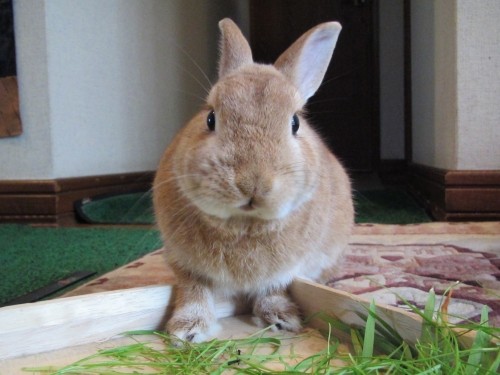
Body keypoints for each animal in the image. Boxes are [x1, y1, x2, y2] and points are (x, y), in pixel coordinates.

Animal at [154, 18, 354, 344]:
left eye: (295, 123)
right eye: (210, 118)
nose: (252, 183)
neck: (243, 224)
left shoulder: (284, 271)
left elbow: (274, 289)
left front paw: (283, 320)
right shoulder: (184, 264)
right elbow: (193, 291)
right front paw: (188, 331)